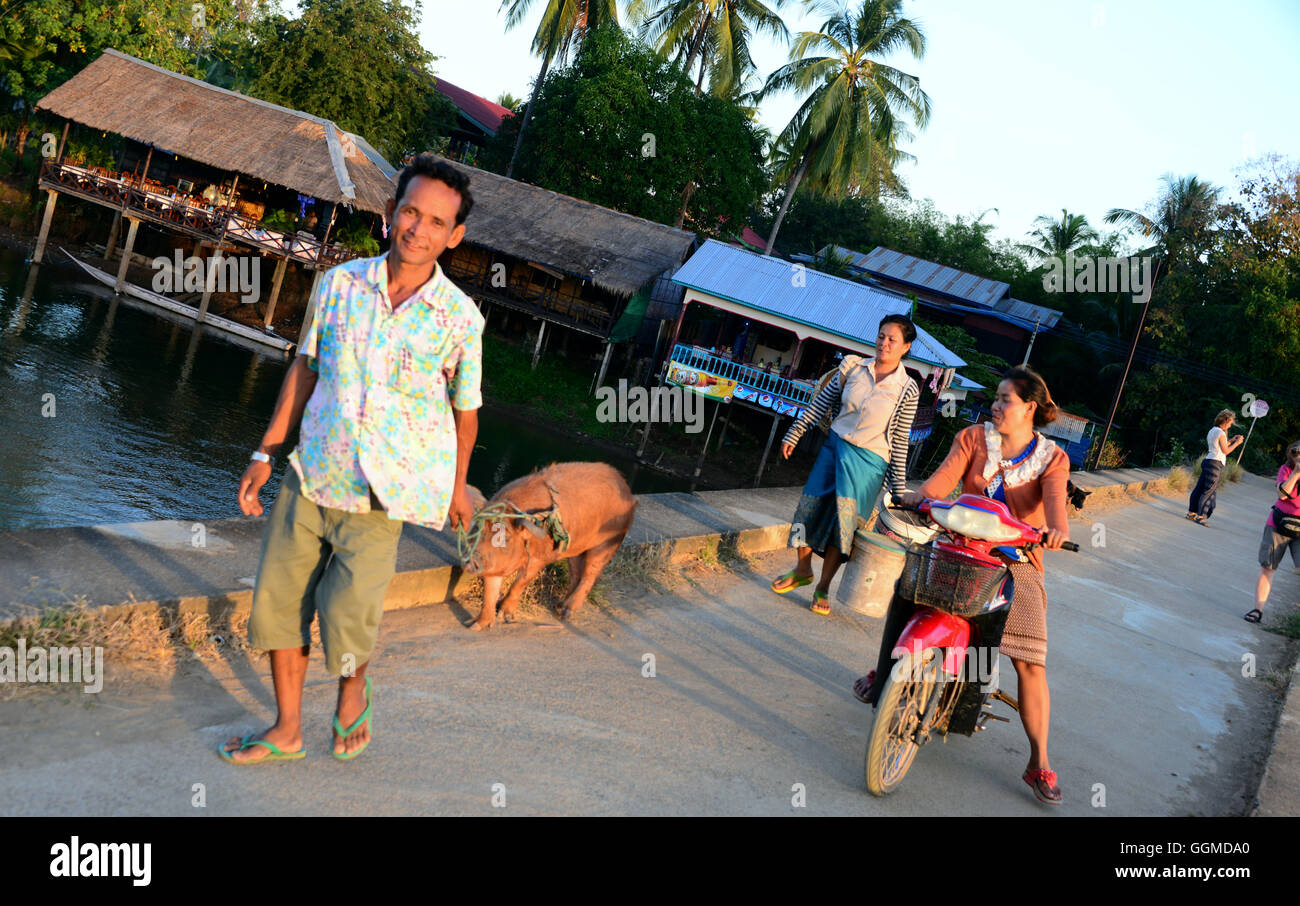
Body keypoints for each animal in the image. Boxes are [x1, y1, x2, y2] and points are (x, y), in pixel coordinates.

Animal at [462, 460, 639, 629]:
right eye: (477, 529)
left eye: (506, 537)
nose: (471, 559)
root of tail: (627, 491)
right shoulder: (495, 563)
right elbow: (490, 591)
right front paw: (473, 625)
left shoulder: (540, 558)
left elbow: (519, 583)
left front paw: (506, 617)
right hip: (574, 549)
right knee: (576, 573)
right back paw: (559, 607)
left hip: (607, 543)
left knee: (590, 574)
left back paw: (567, 613)